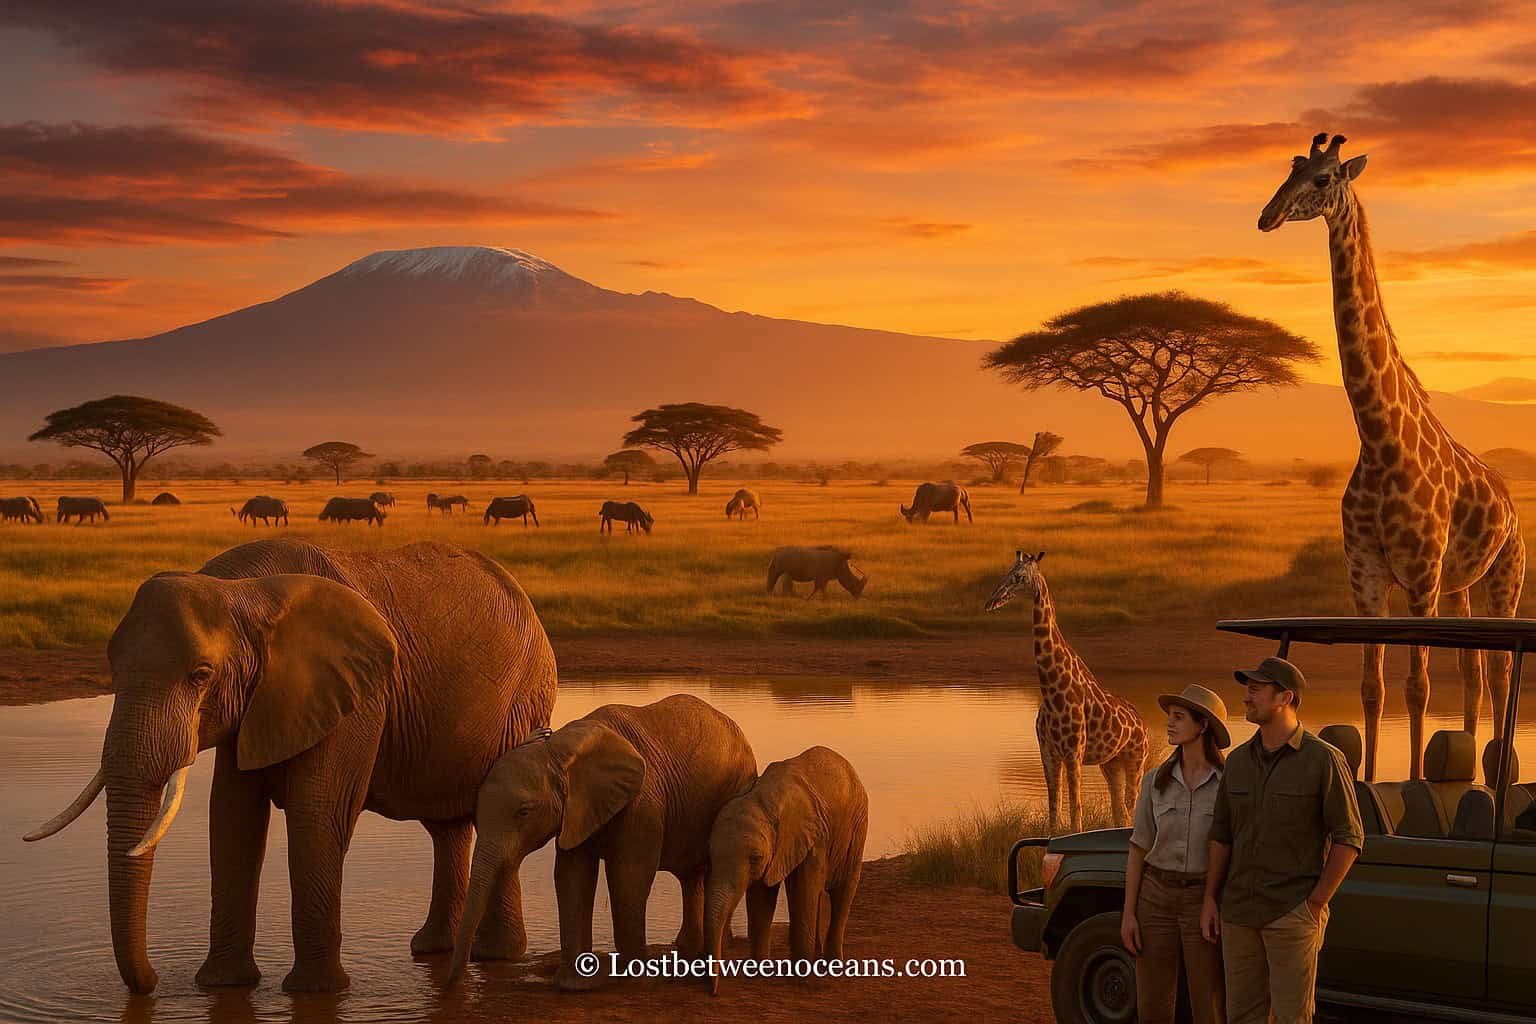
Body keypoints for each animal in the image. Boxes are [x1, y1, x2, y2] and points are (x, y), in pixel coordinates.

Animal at [23, 538, 559, 995]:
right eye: (112, 671)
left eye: (200, 676)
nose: (151, 982)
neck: (243, 592)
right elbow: (232, 817)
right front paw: (220, 986)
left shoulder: (354, 694)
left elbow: (316, 813)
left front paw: (315, 992)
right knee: (447, 827)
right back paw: (433, 950)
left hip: (524, 702)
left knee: (492, 812)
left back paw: (495, 958)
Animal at [449, 694, 756, 989]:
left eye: (524, 812)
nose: (456, 984)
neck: (557, 750)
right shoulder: (578, 809)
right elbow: (572, 876)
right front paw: (575, 986)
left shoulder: (642, 803)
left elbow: (628, 878)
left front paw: (637, 983)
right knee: (691, 876)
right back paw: (690, 951)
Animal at [704, 746, 868, 995]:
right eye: (710, 855)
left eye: (755, 858)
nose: (713, 991)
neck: (762, 800)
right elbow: (761, 896)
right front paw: (757, 975)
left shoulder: (813, 837)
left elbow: (803, 890)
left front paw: (801, 980)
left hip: (858, 827)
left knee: (843, 890)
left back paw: (833, 965)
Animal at [986, 550, 1149, 833]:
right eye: (1006, 572)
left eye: (1019, 577)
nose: (991, 602)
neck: (1053, 691)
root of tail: (1143, 724)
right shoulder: (1048, 753)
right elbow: (1055, 813)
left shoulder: (1074, 754)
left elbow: (1076, 815)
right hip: (1111, 764)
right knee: (1121, 811)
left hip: (1135, 759)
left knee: (1131, 808)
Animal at [1259, 133, 1526, 781]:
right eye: (1292, 167)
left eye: (1324, 178)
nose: (1267, 216)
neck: (1381, 442)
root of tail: (1510, 501)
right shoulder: (1366, 573)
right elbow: (1373, 687)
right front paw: (1370, 780)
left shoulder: (1420, 575)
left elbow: (1416, 686)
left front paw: (1414, 779)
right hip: (1460, 587)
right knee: (1473, 674)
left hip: (1504, 577)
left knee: (1499, 671)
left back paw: (1497, 771)